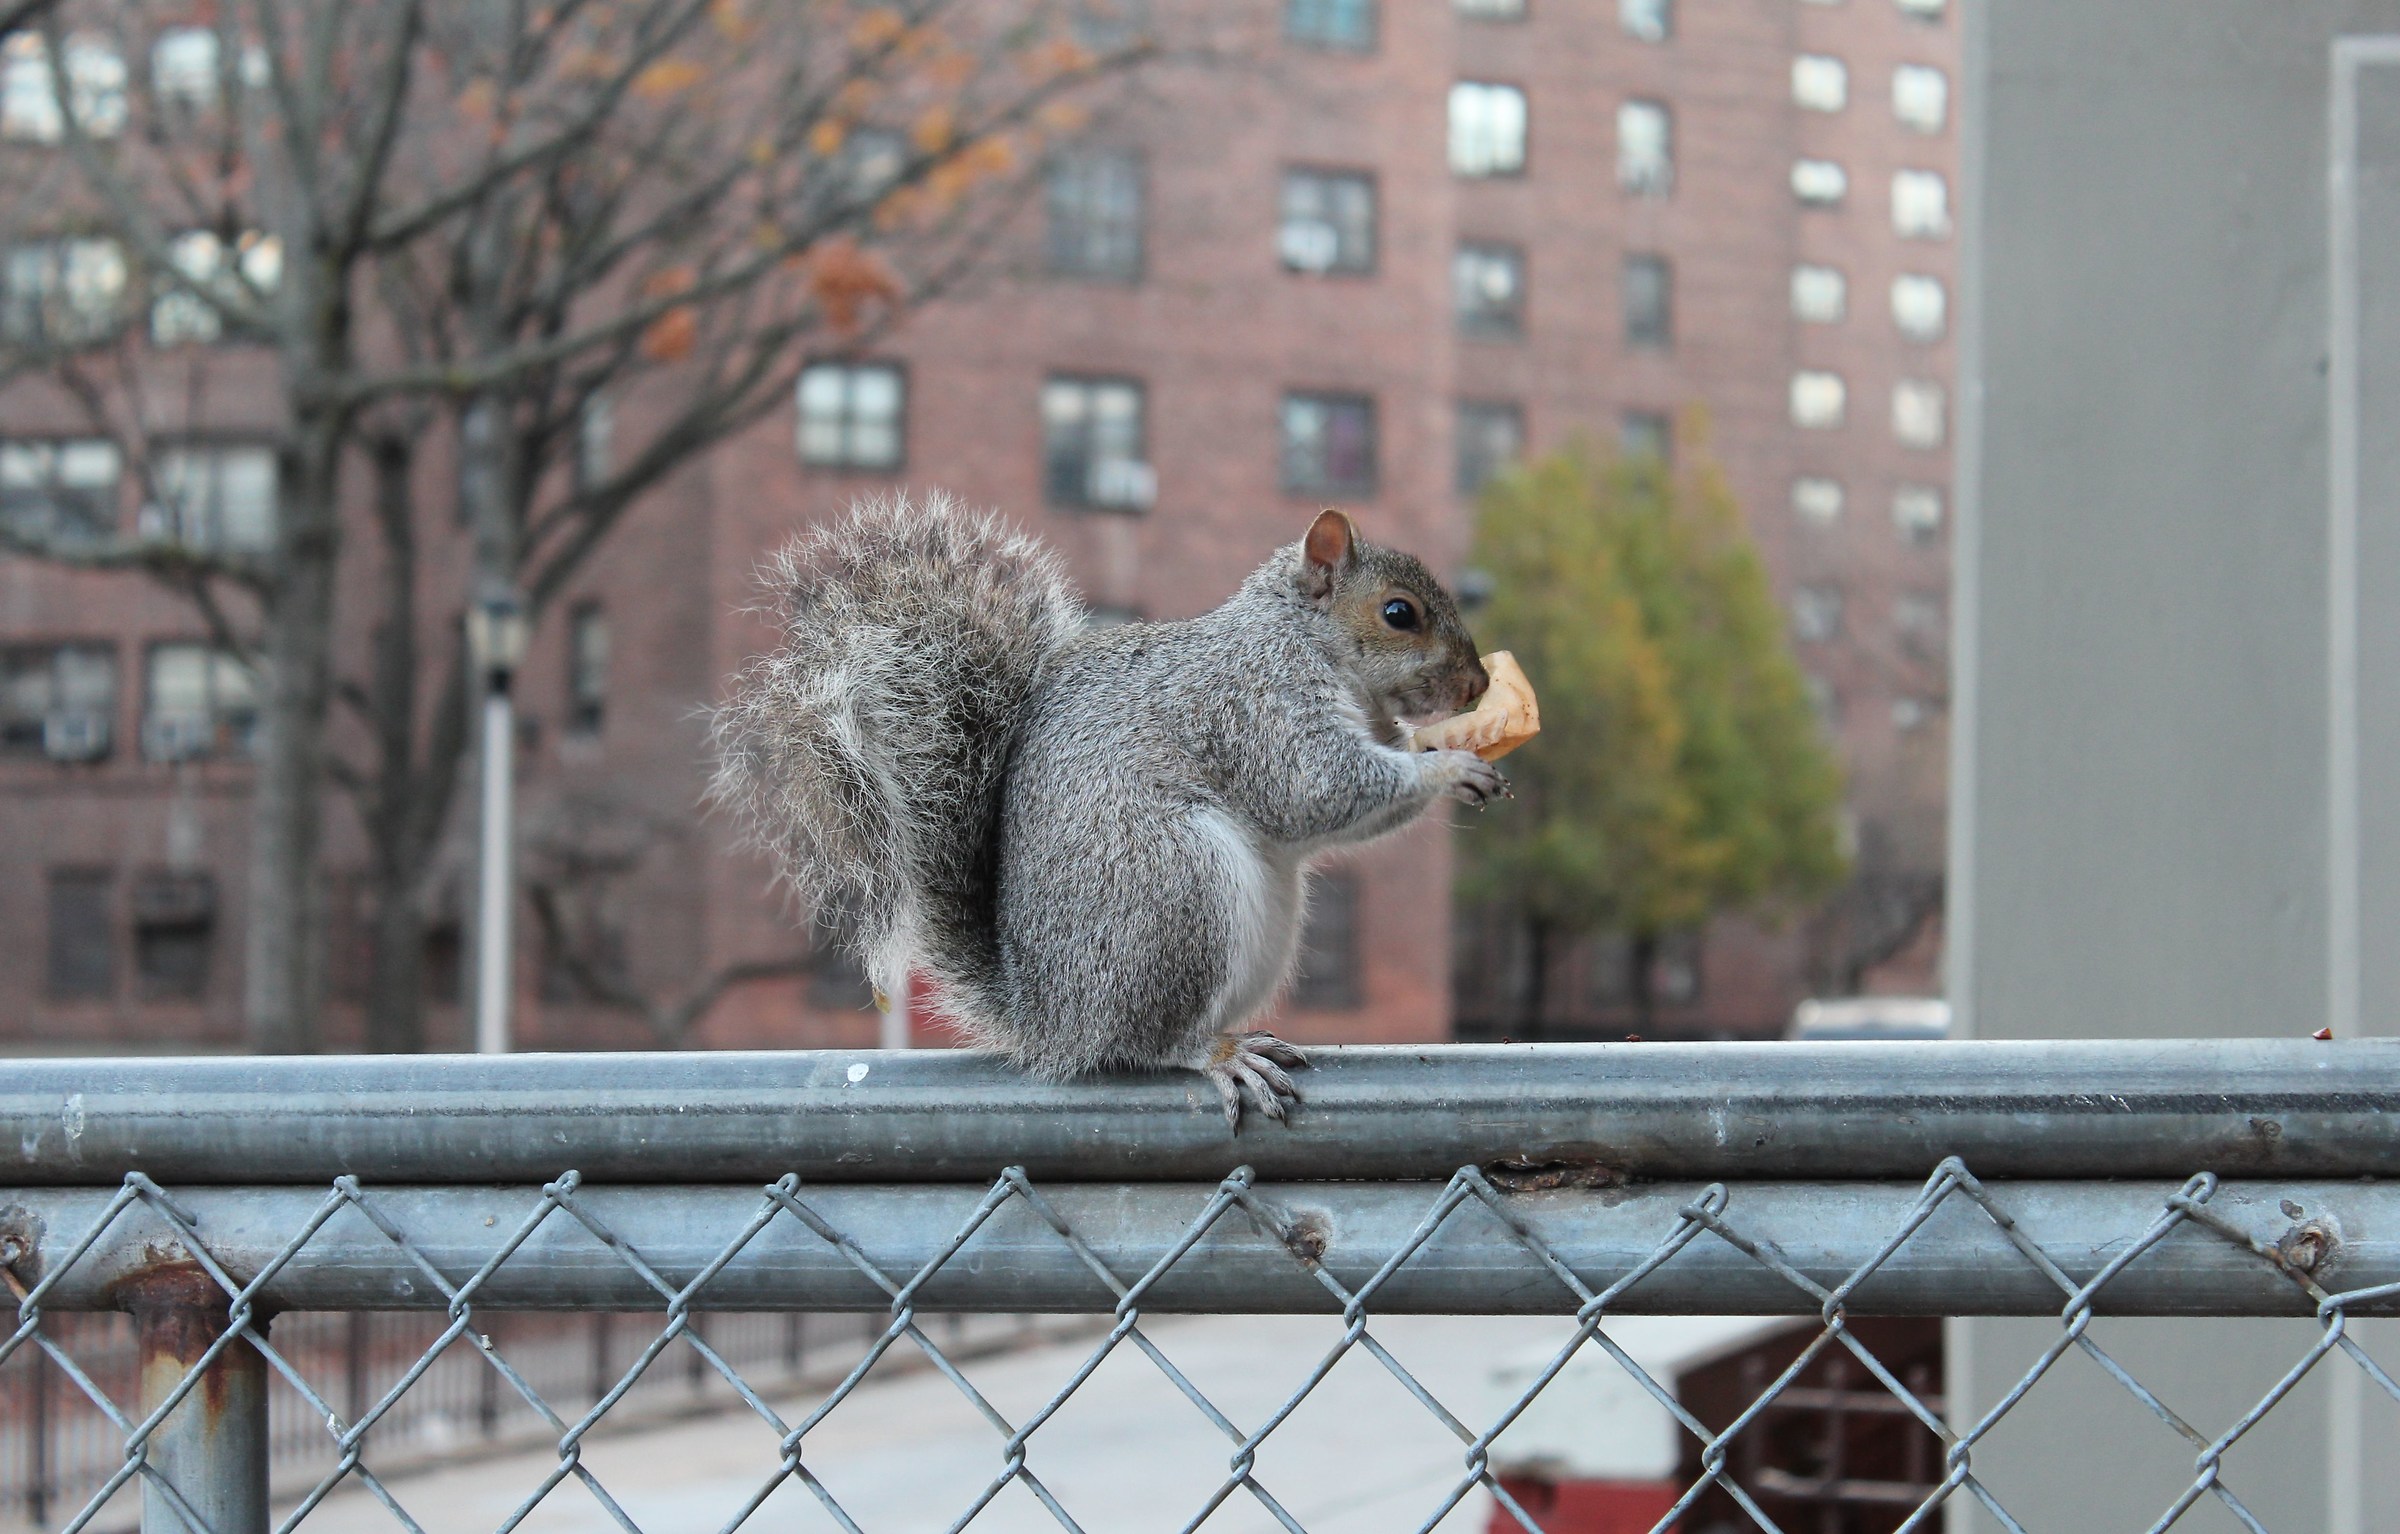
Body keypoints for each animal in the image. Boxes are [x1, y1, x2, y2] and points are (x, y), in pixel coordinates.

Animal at [709, 491, 1506, 1126]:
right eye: (1399, 613)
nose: (1475, 687)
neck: (1300, 638)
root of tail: (1050, 1021)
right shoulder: (1258, 705)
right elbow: (1316, 790)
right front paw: (1450, 766)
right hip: (1174, 891)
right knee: (1144, 1044)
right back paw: (1216, 1053)